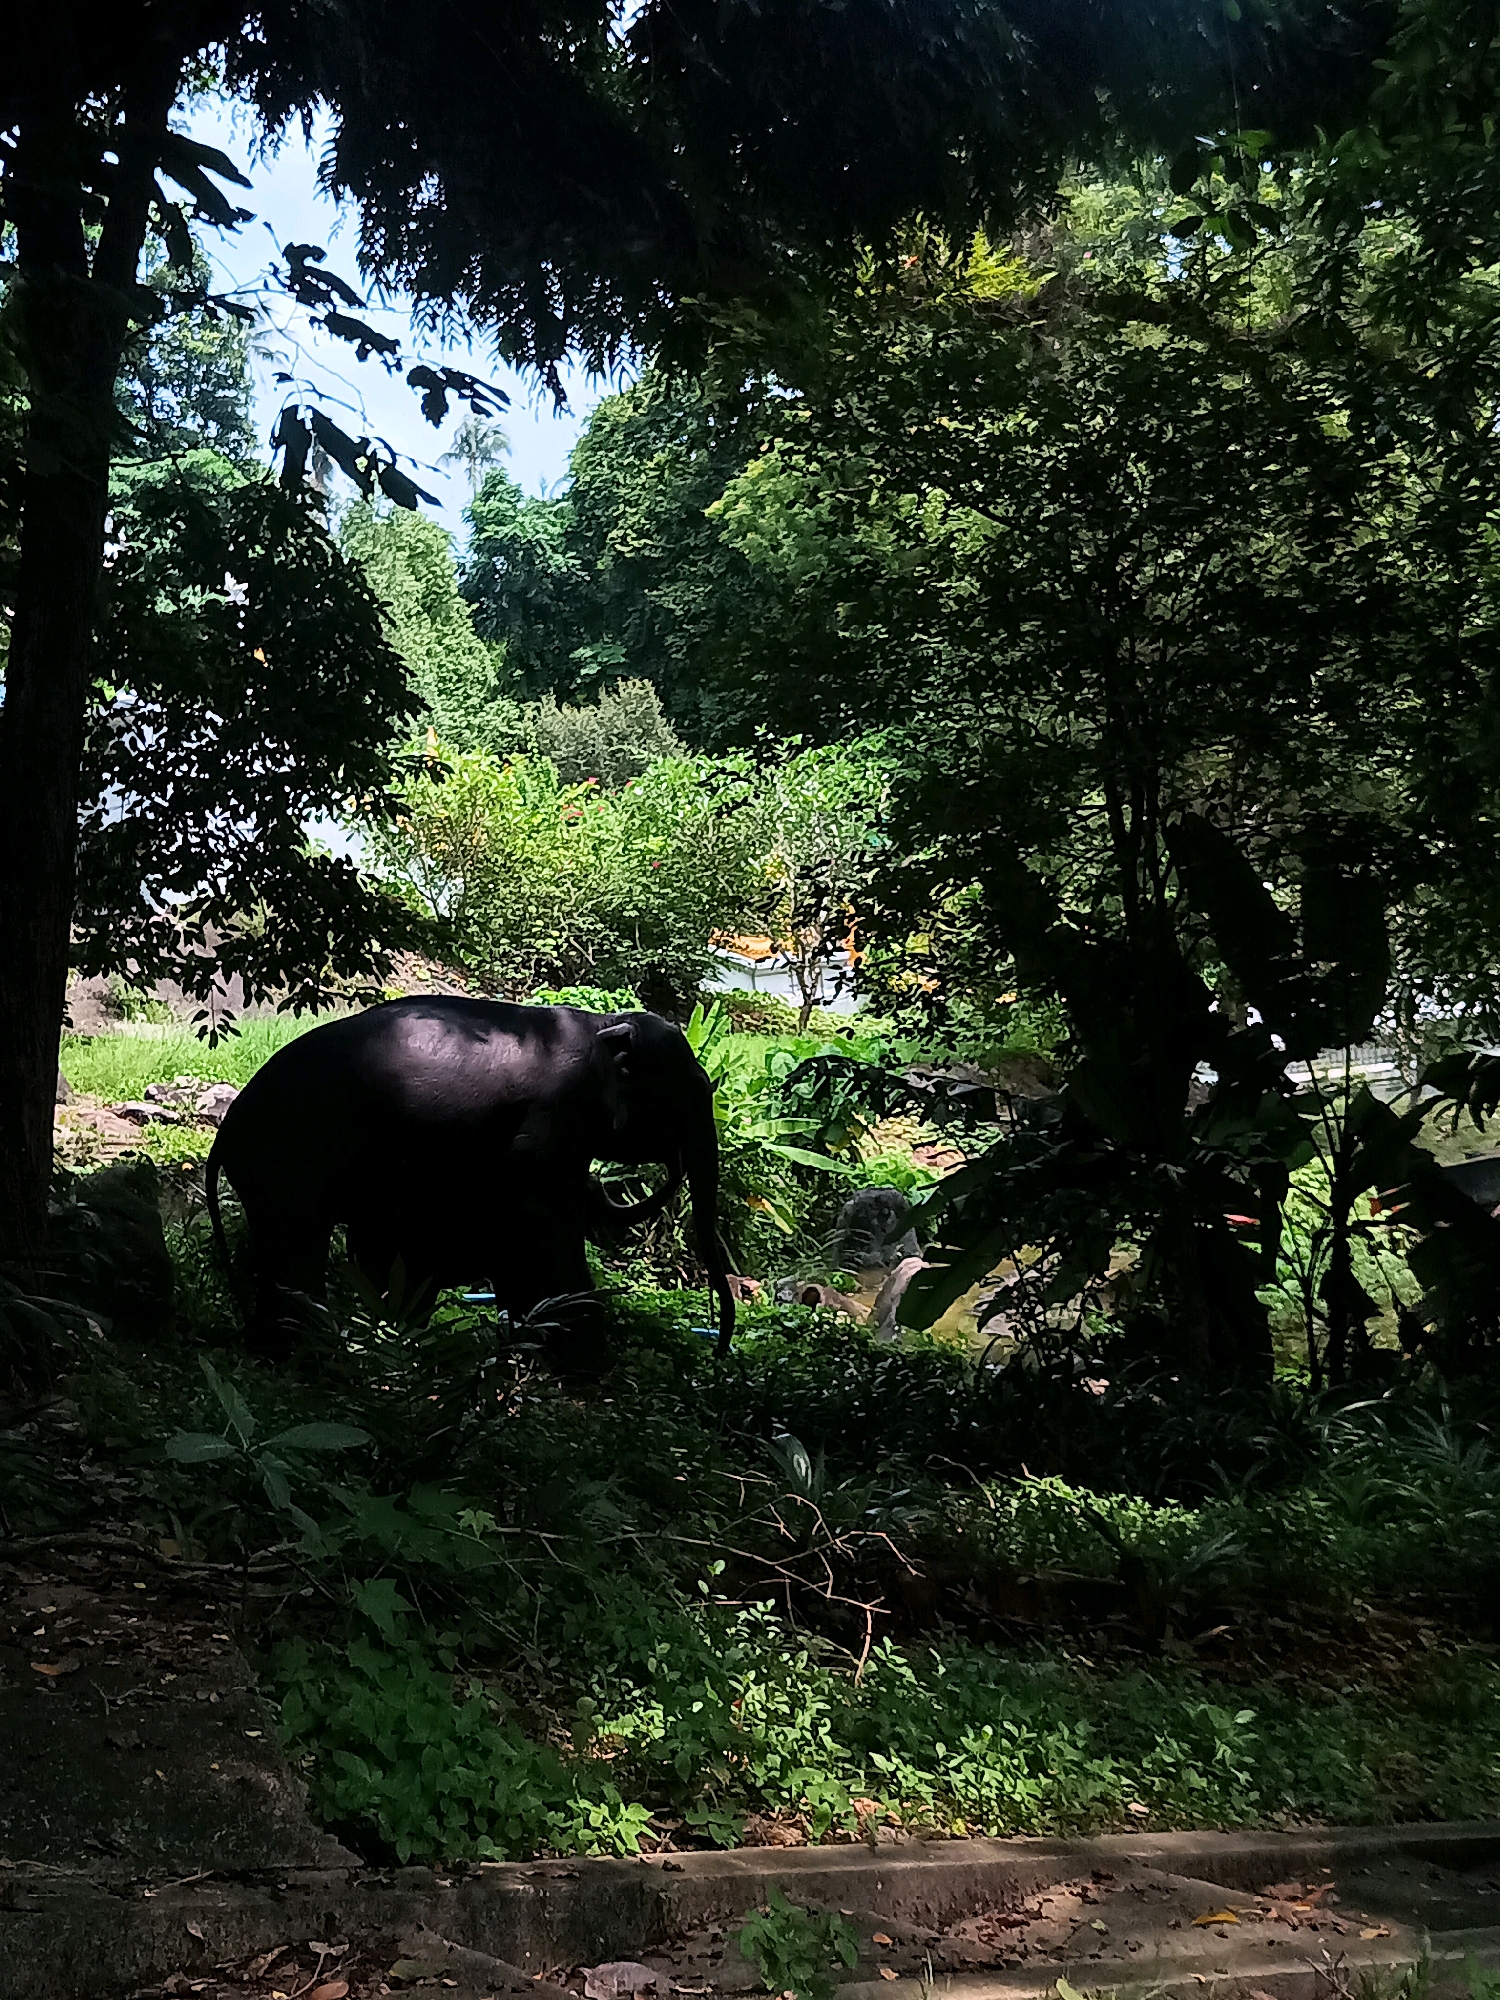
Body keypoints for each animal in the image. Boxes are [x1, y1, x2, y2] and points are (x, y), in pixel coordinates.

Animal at [204, 997, 735, 1360]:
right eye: (697, 1090)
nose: (718, 1351)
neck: (602, 1026)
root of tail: (224, 1132)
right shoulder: (547, 1123)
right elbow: (544, 1227)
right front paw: (585, 1363)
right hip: (289, 1158)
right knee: (297, 1250)